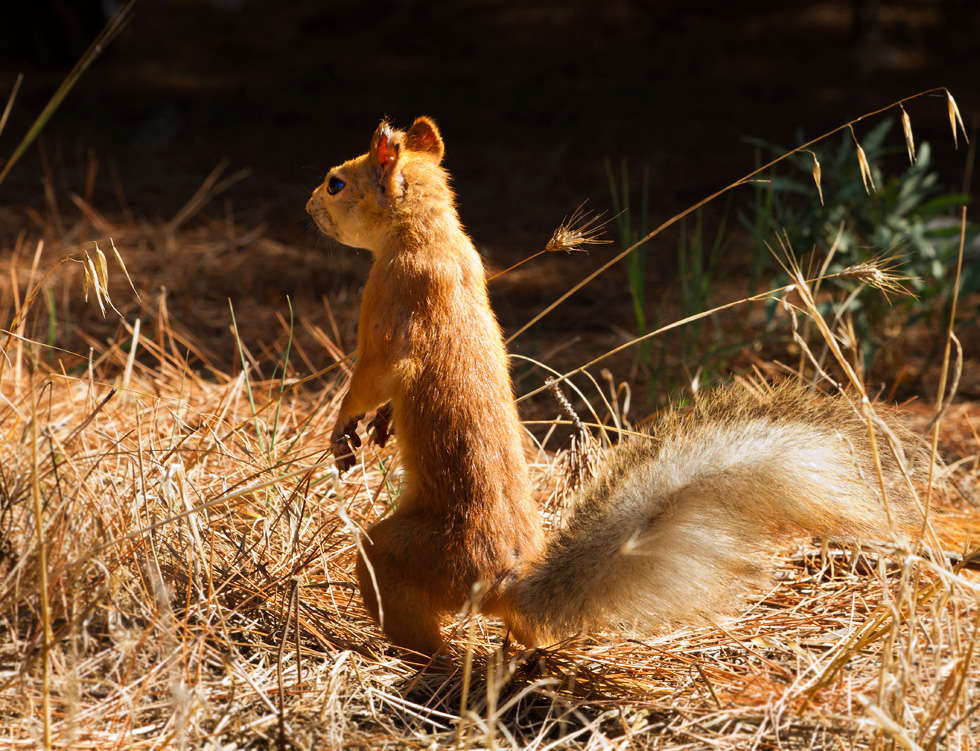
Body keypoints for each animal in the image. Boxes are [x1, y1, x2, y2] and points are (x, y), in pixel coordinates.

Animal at [308, 117, 920, 656]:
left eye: (337, 181)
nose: (309, 205)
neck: (428, 234)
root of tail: (504, 578)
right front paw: (380, 424)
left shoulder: (390, 303)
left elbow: (374, 375)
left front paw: (345, 424)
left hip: (407, 556)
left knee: (408, 610)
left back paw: (412, 656)